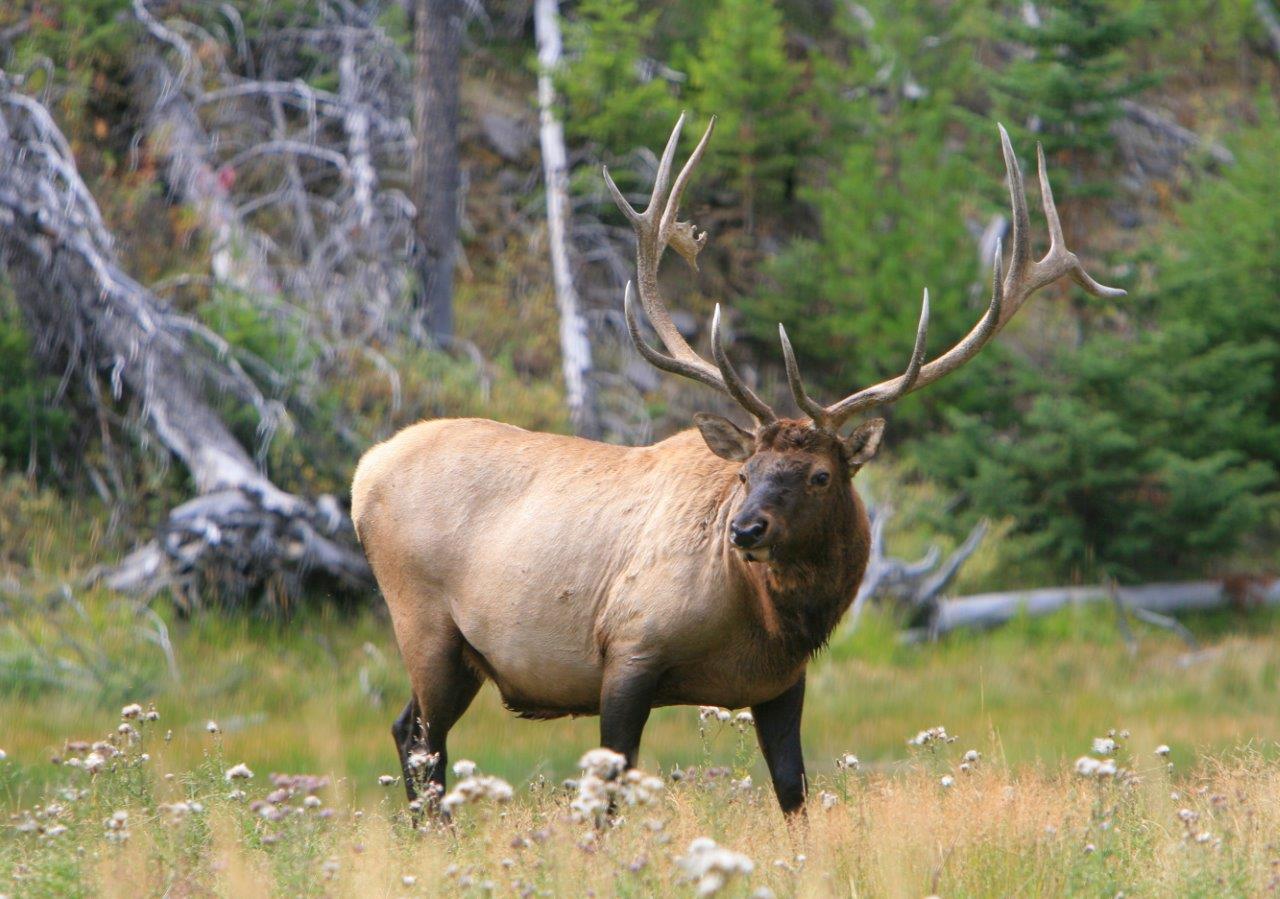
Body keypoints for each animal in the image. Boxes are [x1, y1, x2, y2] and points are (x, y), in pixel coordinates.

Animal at [350, 113, 1122, 816]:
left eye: (819, 476)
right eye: (746, 474)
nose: (744, 530)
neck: (765, 620)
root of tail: (362, 474)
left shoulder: (781, 684)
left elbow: (793, 792)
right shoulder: (627, 648)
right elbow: (606, 794)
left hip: (460, 654)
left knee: (407, 732)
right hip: (426, 622)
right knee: (421, 741)